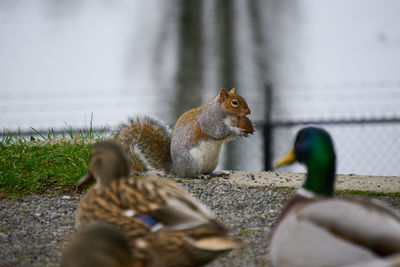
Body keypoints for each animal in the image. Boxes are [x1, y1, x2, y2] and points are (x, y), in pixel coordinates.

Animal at [115, 88, 252, 179]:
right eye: (234, 102)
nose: (249, 112)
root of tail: (176, 170)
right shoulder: (210, 121)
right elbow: (219, 132)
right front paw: (237, 130)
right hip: (192, 161)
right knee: (190, 175)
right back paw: (200, 175)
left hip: (212, 162)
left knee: (207, 171)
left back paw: (216, 173)